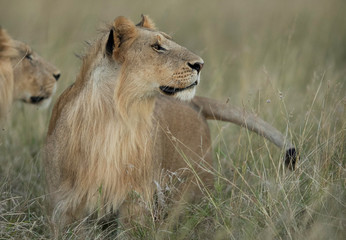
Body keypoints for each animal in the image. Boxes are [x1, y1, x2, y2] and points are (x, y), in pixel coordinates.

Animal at [44, 15, 298, 236]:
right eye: (157, 47)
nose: (200, 64)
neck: (115, 116)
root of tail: (194, 104)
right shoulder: (66, 204)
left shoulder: (136, 200)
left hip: (197, 190)